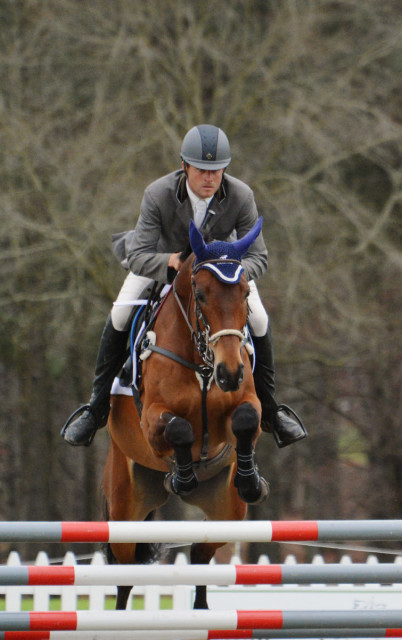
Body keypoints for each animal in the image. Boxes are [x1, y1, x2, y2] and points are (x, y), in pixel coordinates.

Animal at [102, 219, 268, 608]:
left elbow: (246, 420)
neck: (202, 363)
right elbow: (179, 430)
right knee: (125, 575)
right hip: (125, 510)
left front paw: (249, 479)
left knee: (200, 555)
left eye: (244, 294)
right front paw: (182, 477)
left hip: (227, 513)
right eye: (202, 294)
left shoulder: (246, 403)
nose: (230, 373)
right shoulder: (151, 419)